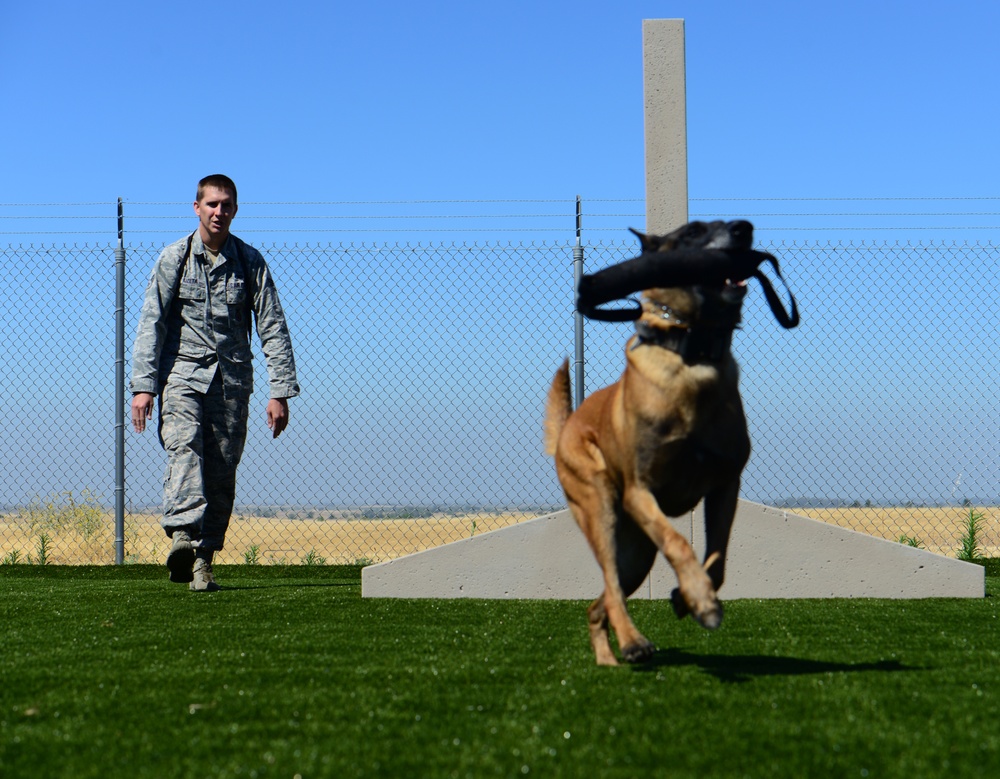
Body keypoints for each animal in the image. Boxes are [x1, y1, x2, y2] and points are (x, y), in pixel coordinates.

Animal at [548, 221, 752, 672]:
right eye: (693, 231)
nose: (743, 229)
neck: (692, 356)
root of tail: (568, 425)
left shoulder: (725, 486)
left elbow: (718, 559)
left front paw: (691, 595)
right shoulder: (641, 492)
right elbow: (678, 542)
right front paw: (700, 599)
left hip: (637, 555)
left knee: (600, 603)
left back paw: (609, 659)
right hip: (602, 509)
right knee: (610, 587)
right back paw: (632, 642)